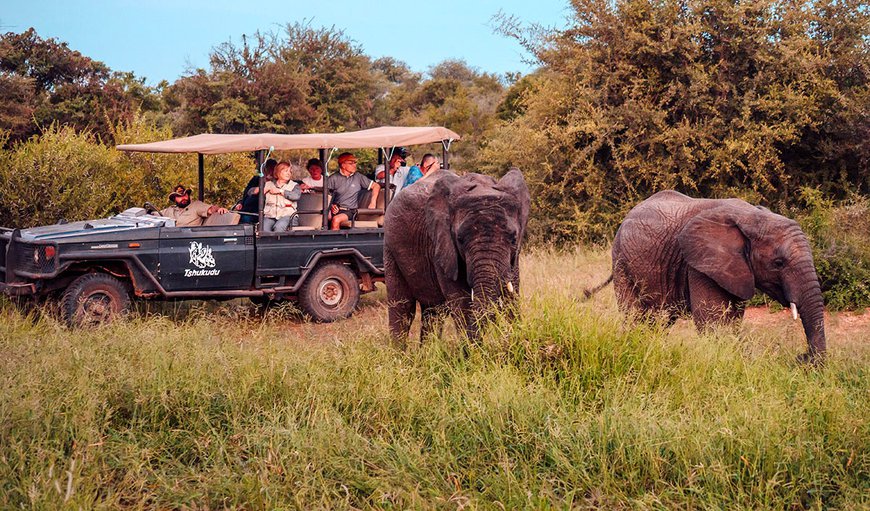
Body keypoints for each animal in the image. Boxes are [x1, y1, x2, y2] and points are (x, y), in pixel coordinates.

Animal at [386, 168, 532, 348]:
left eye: (513, 238)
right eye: (460, 239)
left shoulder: (514, 256)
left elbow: (512, 295)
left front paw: (516, 344)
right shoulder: (441, 244)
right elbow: (461, 301)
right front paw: (473, 352)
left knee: (433, 311)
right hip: (390, 247)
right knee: (402, 307)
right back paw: (398, 355)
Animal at [588, 191, 828, 364]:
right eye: (778, 263)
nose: (802, 358)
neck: (752, 216)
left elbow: (731, 321)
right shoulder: (700, 264)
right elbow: (713, 323)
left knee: (659, 321)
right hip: (621, 261)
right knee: (635, 316)